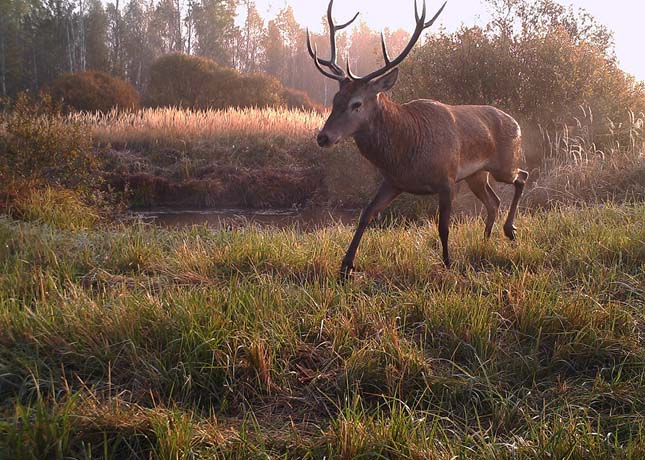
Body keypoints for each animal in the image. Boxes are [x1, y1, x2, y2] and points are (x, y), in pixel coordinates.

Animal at [306, 0, 528, 278]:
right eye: (336, 100)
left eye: (357, 104)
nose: (323, 137)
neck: (406, 150)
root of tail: (516, 122)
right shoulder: (393, 181)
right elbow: (365, 214)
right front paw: (346, 265)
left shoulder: (447, 179)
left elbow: (443, 226)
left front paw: (448, 263)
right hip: (477, 175)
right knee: (494, 201)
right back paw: (486, 239)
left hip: (504, 164)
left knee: (522, 177)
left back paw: (509, 230)